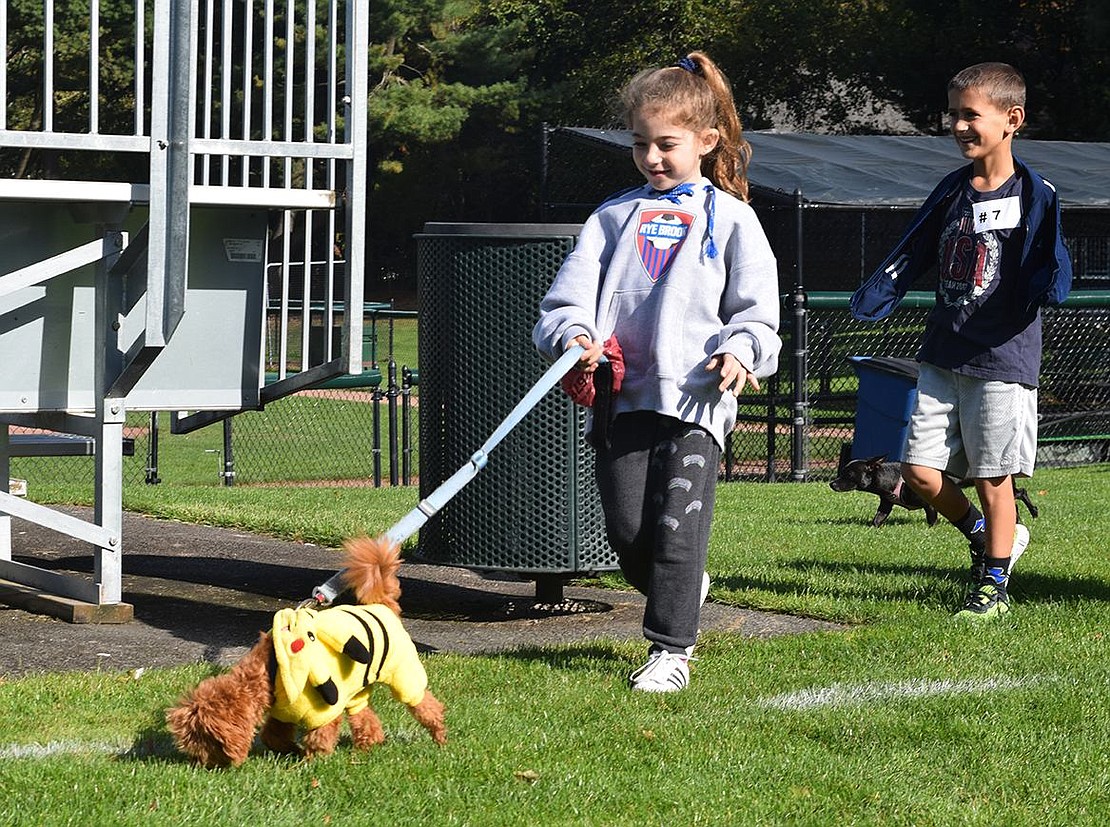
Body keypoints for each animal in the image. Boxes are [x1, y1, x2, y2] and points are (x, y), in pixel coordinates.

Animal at [166, 535, 444, 768]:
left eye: (206, 743)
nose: (202, 765)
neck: (271, 669)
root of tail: (383, 605)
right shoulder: (282, 712)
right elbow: (272, 735)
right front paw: (292, 751)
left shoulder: (324, 709)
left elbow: (319, 737)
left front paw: (309, 763)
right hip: (357, 686)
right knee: (364, 716)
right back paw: (367, 746)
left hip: (402, 673)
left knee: (426, 704)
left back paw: (439, 736)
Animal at [834, 450, 1038, 528]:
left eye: (848, 474)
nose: (832, 483)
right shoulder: (886, 504)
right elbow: (878, 518)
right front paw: (872, 528)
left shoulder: (929, 504)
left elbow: (931, 519)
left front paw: (930, 530)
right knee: (1016, 499)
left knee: (1021, 493)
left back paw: (1032, 512)